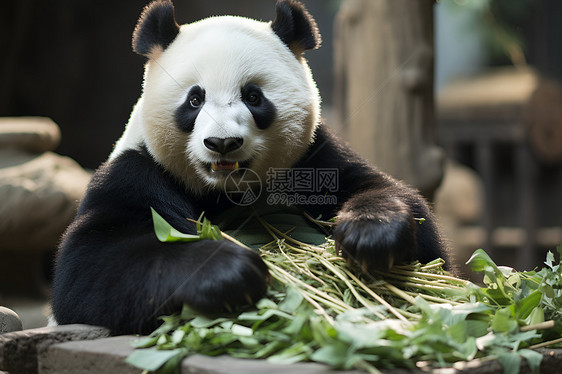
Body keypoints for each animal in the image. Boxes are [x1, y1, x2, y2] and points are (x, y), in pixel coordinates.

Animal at [53, 0, 446, 334]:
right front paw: (229, 271)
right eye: (194, 100)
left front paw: (370, 235)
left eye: (253, 96)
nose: (222, 143)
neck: (228, 192)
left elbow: (392, 200)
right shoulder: (138, 170)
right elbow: (89, 264)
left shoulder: (314, 157)